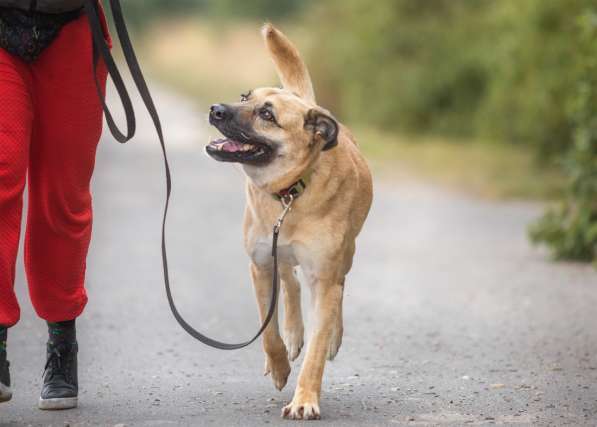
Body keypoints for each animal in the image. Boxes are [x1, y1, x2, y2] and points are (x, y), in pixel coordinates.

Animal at [206, 23, 372, 422]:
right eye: (245, 97)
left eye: (267, 115)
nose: (215, 109)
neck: (290, 192)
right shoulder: (260, 265)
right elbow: (268, 333)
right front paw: (280, 365)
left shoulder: (324, 277)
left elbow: (316, 352)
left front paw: (304, 399)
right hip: (276, 252)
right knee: (290, 283)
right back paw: (294, 334)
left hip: (345, 255)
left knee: (337, 289)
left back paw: (330, 334)